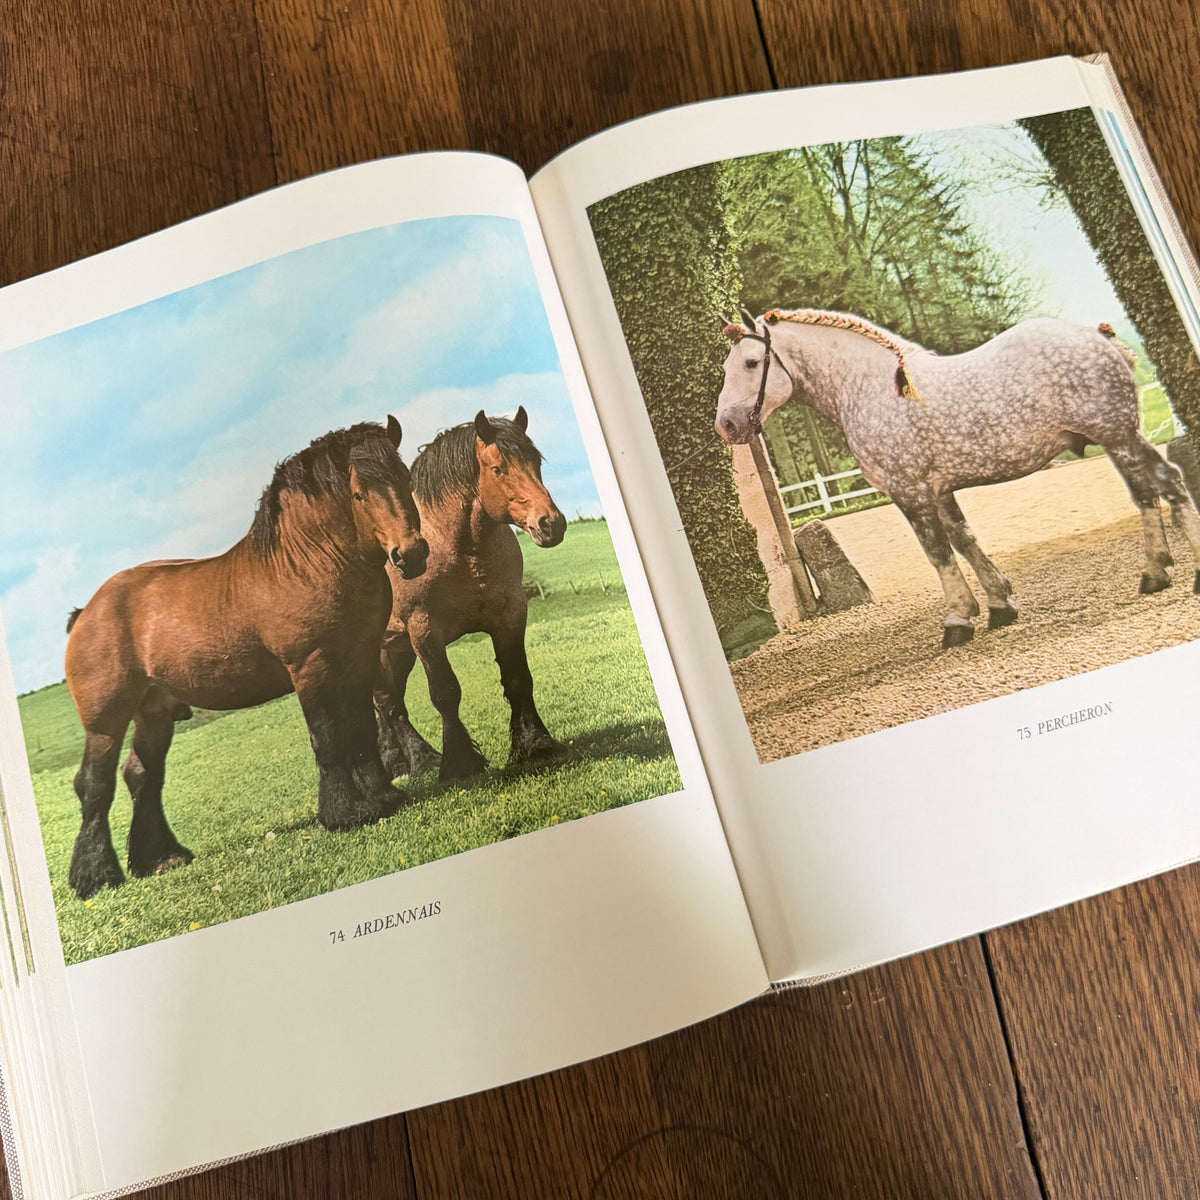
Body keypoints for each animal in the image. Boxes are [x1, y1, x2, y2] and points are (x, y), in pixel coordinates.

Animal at [64, 417, 429, 900]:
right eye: (357, 494)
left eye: (404, 478)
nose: (411, 554)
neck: (308, 562)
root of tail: (87, 612)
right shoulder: (310, 669)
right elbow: (329, 739)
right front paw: (346, 813)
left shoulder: (360, 660)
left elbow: (362, 732)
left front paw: (384, 798)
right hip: (105, 721)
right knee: (94, 785)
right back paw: (96, 876)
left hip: (154, 713)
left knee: (142, 775)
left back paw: (161, 859)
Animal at [373, 406, 567, 782]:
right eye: (498, 469)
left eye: (536, 462)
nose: (552, 524)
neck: (458, 548)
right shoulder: (424, 629)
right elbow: (445, 693)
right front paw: (459, 764)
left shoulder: (510, 614)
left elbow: (518, 678)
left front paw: (535, 745)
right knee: (384, 702)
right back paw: (411, 763)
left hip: (396, 649)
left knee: (389, 701)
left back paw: (407, 763)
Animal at [716, 307, 1200, 648]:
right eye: (726, 368)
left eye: (753, 362)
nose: (727, 425)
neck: (869, 386)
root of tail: (1098, 336)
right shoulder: (940, 489)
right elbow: (965, 541)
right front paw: (1000, 605)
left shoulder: (909, 491)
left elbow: (937, 552)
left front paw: (957, 620)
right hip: (1120, 439)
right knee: (1152, 492)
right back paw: (1156, 573)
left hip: (1118, 436)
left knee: (1167, 485)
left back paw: (1182, 574)